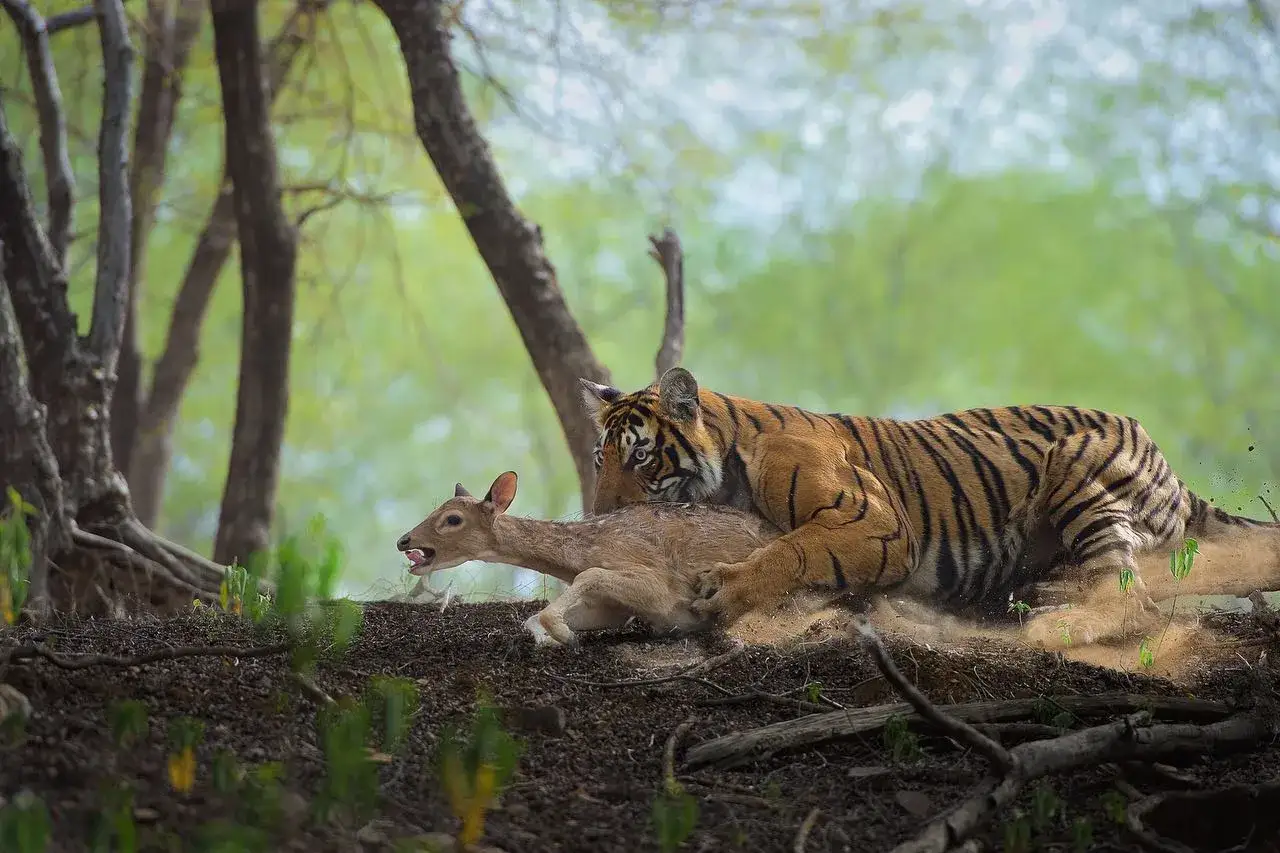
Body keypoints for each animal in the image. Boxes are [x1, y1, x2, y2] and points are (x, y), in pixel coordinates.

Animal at [394, 471, 785, 646]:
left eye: (452, 519)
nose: (403, 540)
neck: (579, 553)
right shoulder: (617, 608)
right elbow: (531, 618)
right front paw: (554, 635)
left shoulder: (661, 588)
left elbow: (590, 576)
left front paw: (562, 632)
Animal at [580, 366, 1280, 648]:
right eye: (598, 460)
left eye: (641, 458)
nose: (596, 520)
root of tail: (1170, 466)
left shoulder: (877, 521)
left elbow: (794, 547)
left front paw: (725, 589)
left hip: (1082, 469)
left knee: (1132, 595)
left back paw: (1054, 622)